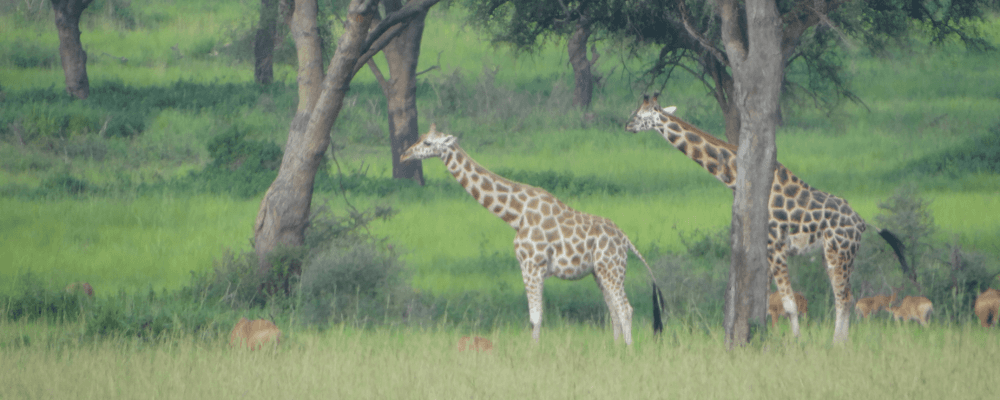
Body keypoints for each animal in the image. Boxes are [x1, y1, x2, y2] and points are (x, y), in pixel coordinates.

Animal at [401, 124, 664, 345]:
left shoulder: (531, 265)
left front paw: (533, 354)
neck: (516, 214)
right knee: (613, 310)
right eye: (420, 138)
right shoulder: (532, 268)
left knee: (625, 309)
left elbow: (534, 317)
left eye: (427, 143)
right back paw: (616, 348)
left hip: (611, 268)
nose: (404, 155)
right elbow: (536, 317)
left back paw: (628, 351)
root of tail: (626, 240)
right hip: (600, 272)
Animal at [625, 94, 908, 343]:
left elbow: (789, 304)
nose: (626, 125)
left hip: (839, 251)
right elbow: (765, 303)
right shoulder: (768, 250)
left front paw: (796, 343)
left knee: (843, 298)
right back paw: (840, 341)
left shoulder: (776, 247)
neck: (734, 178)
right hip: (838, 254)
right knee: (845, 295)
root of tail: (862, 223)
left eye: (641, 115)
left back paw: (838, 343)